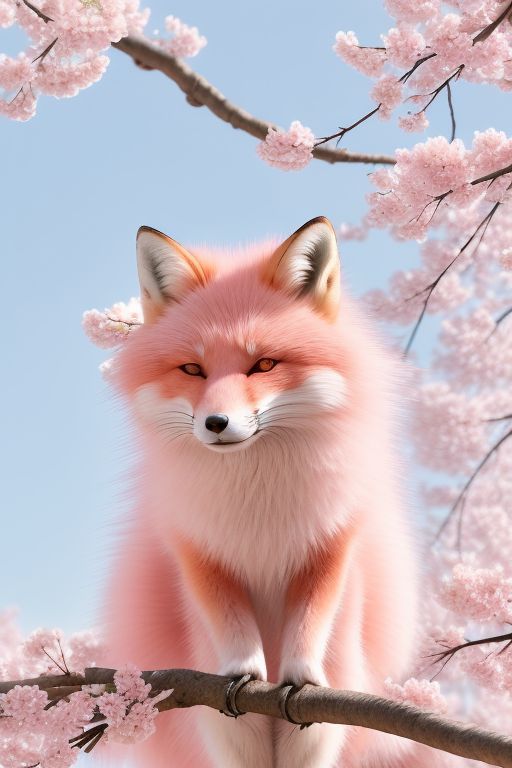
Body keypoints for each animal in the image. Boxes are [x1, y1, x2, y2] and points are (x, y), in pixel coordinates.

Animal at [103, 216, 419, 768]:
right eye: (193, 369)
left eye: (263, 365)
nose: (216, 423)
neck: (257, 499)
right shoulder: (199, 552)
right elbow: (232, 629)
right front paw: (244, 673)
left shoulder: (331, 543)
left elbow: (309, 623)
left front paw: (300, 676)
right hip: (231, 742)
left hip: (315, 740)